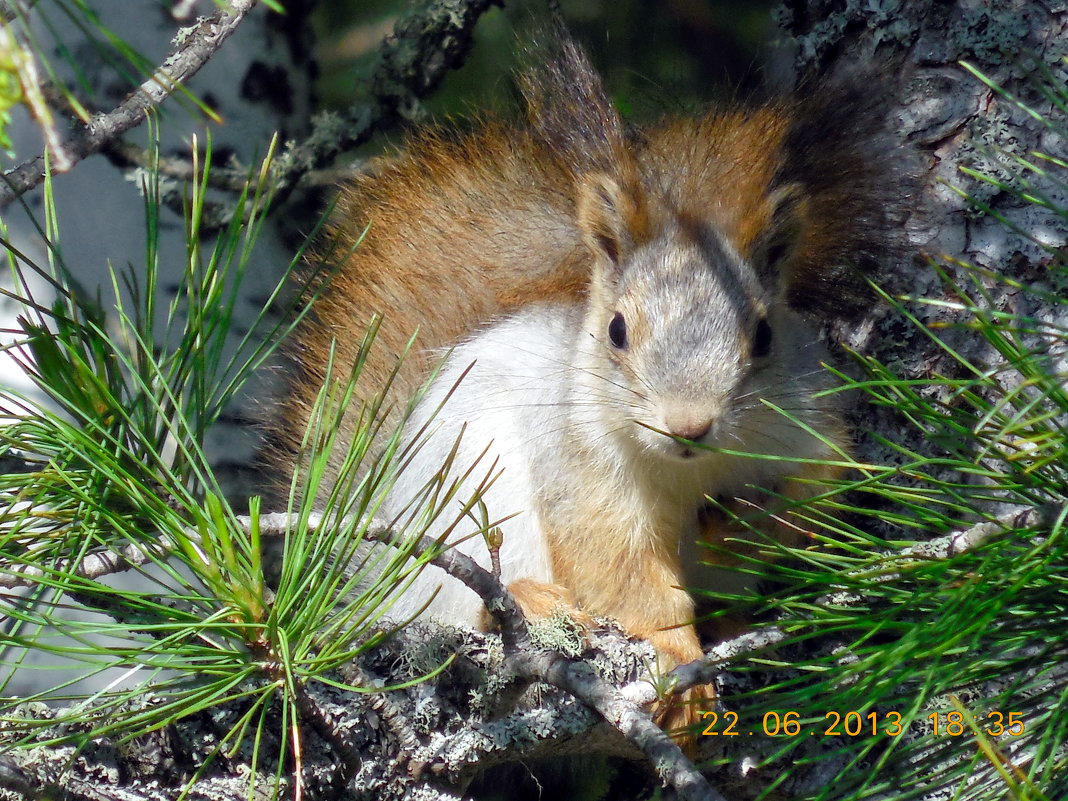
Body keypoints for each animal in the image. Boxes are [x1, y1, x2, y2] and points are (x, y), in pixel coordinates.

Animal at [262, 25, 905, 739]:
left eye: (764, 334)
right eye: (617, 330)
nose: (689, 425)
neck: (687, 470)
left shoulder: (811, 429)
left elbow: (814, 503)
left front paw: (741, 527)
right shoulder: (581, 467)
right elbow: (618, 568)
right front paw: (675, 654)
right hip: (464, 509)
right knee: (461, 607)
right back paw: (532, 604)